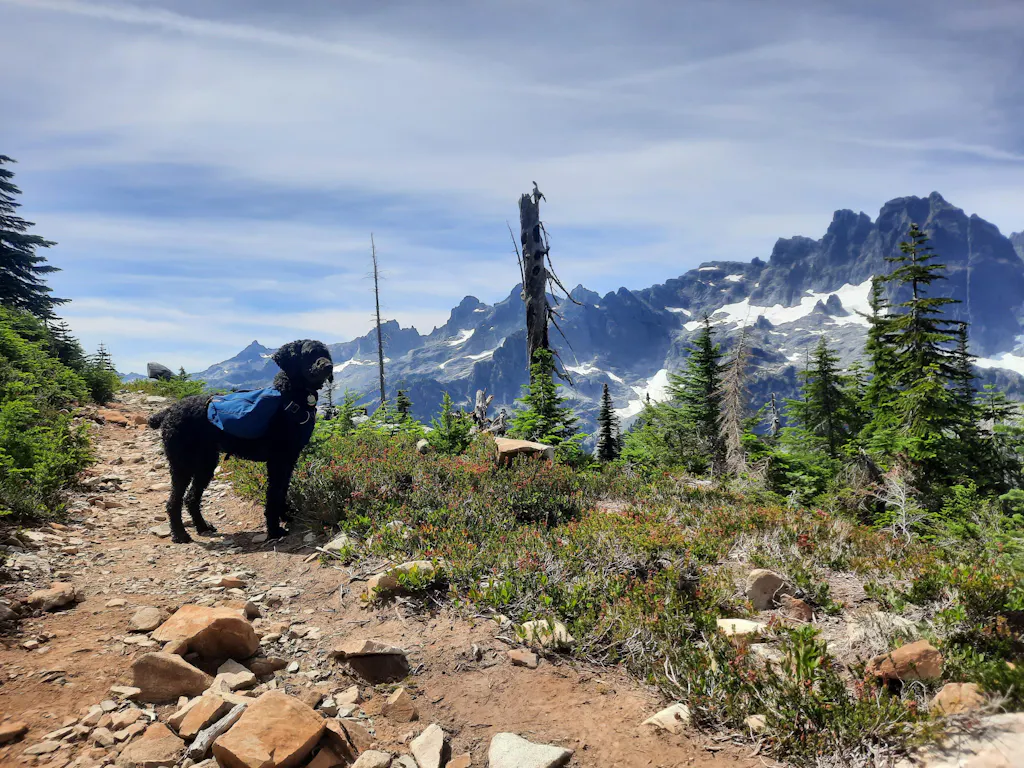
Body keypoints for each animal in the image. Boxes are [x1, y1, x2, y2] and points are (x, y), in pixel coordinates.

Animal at [147, 340, 333, 543]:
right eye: (309, 354)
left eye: (326, 353)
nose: (328, 366)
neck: (289, 396)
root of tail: (168, 411)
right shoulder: (277, 461)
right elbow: (274, 495)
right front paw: (274, 529)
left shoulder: (288, 460)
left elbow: (283, 491)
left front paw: (286, 516)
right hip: (182, 464)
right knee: (173, 502)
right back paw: (180, 534)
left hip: (205, 463)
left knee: (190, 498)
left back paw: (202, 526)